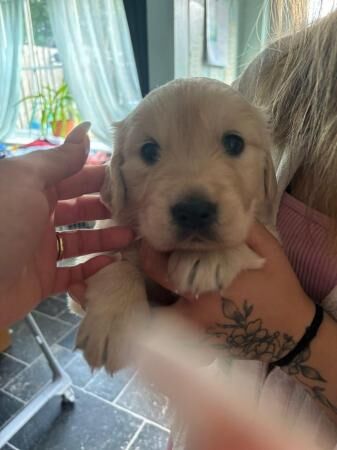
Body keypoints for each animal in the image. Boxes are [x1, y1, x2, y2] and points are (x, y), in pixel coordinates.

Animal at [73, 77, 276, 372]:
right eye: (148, 150)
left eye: (234, 143)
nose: (194, 210)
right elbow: (116, 264)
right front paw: (115, 323)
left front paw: (208, 256)